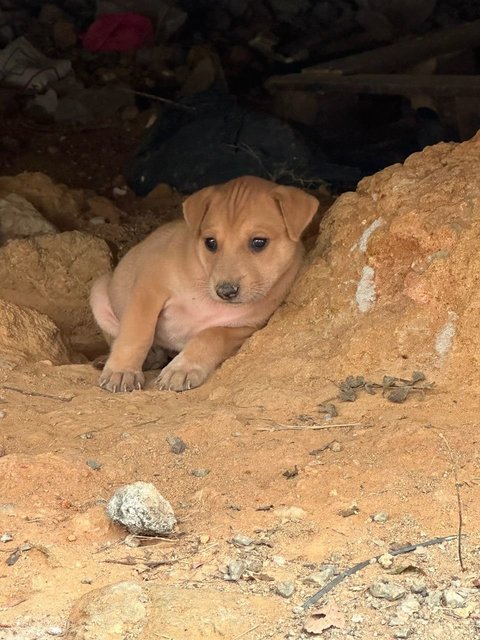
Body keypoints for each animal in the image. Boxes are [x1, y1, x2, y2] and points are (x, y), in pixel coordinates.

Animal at [90, 174, 318, 390]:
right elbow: (137, 332)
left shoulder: (246, 327)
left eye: (259, 242)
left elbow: (211, 336)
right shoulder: (149, 287)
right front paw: (122, 370)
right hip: (99, 291)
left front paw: (183, 368)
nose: (226, 291)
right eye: (210, 242)